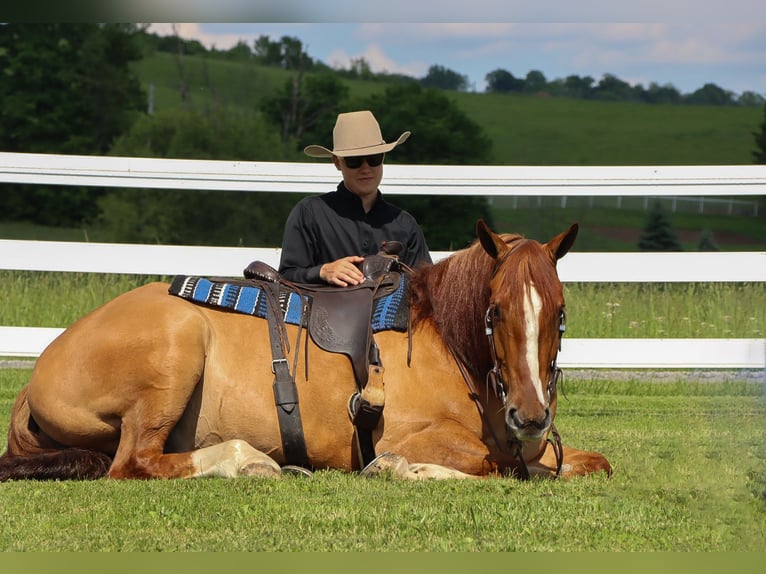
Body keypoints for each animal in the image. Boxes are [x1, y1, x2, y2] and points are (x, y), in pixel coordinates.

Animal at [0, 220, 612, 482]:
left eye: (560, 313)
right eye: (495, 312)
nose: (530, 416)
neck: (442, 340)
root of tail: (38, 373)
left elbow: (581, 463)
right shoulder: (412, 435)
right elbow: (496, 465)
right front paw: (403, 470)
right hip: (177, 350)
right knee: (134, 463)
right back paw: (247, 461)